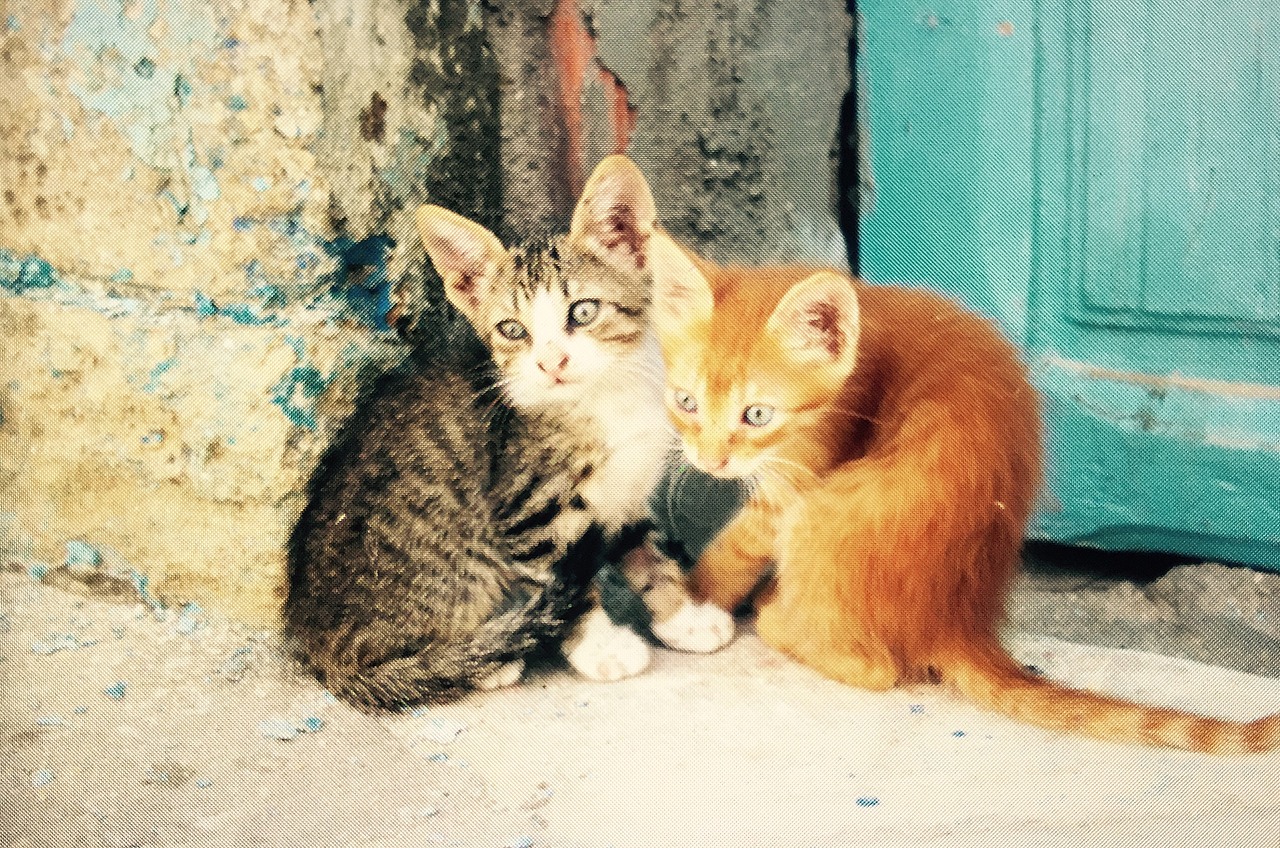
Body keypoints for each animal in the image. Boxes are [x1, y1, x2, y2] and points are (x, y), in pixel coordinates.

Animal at [285, 156, 731, 710]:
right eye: (512, 330)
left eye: (583, 311)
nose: (551, 362)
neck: (607, 398)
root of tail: (315, 646)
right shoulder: (529, 513)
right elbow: (570, 588)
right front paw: (601, 648)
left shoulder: (627, 496)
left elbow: (652, 559)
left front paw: (682, 619)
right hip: (459, 565)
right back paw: (480, 661)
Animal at [646, 233, 1280, 754]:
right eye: (686, 403)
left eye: (757, 414)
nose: (710, 460)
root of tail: (958, 622)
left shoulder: (802, 475)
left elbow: (738, 543)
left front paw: (694, 599)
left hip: (827, 511)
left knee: (875, 668)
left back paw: (778, 616)